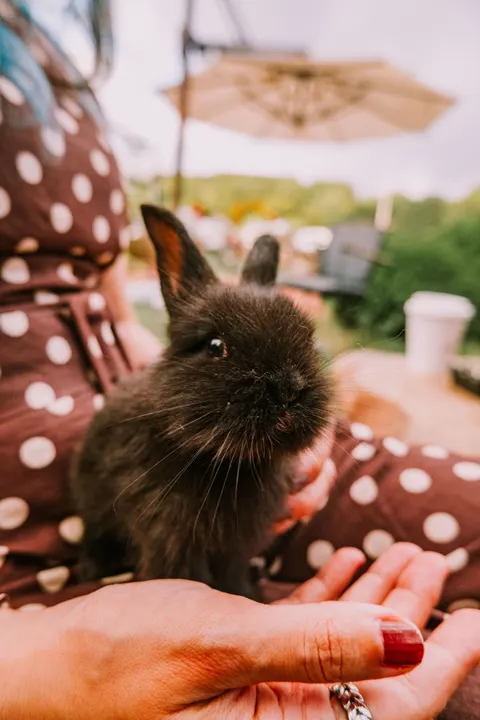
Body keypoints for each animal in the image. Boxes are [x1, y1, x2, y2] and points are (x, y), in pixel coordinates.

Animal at [71, 204, 331, 599]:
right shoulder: (171, 534)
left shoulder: (237, 545)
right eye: (214, 346)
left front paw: (245, 594)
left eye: (309, 339)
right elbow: (183, 574)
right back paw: (90, 568)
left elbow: (232, 573)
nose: (289, 389)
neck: (230, 463)